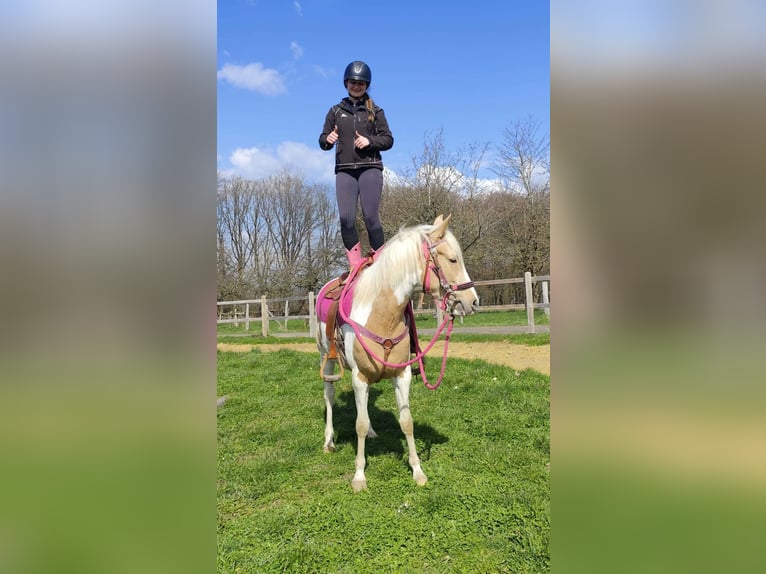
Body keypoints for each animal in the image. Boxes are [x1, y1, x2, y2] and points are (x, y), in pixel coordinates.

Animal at [316, 215, 479, 492]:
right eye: (452, 259)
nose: (473, 301)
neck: (383, 313)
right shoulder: (359, 378)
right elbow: (359, 425)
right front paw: (359, 476)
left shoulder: (401, 375)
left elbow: (406, 421)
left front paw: (418, 471)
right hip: (327, 359)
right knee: (329, 396)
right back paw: (329, 442)